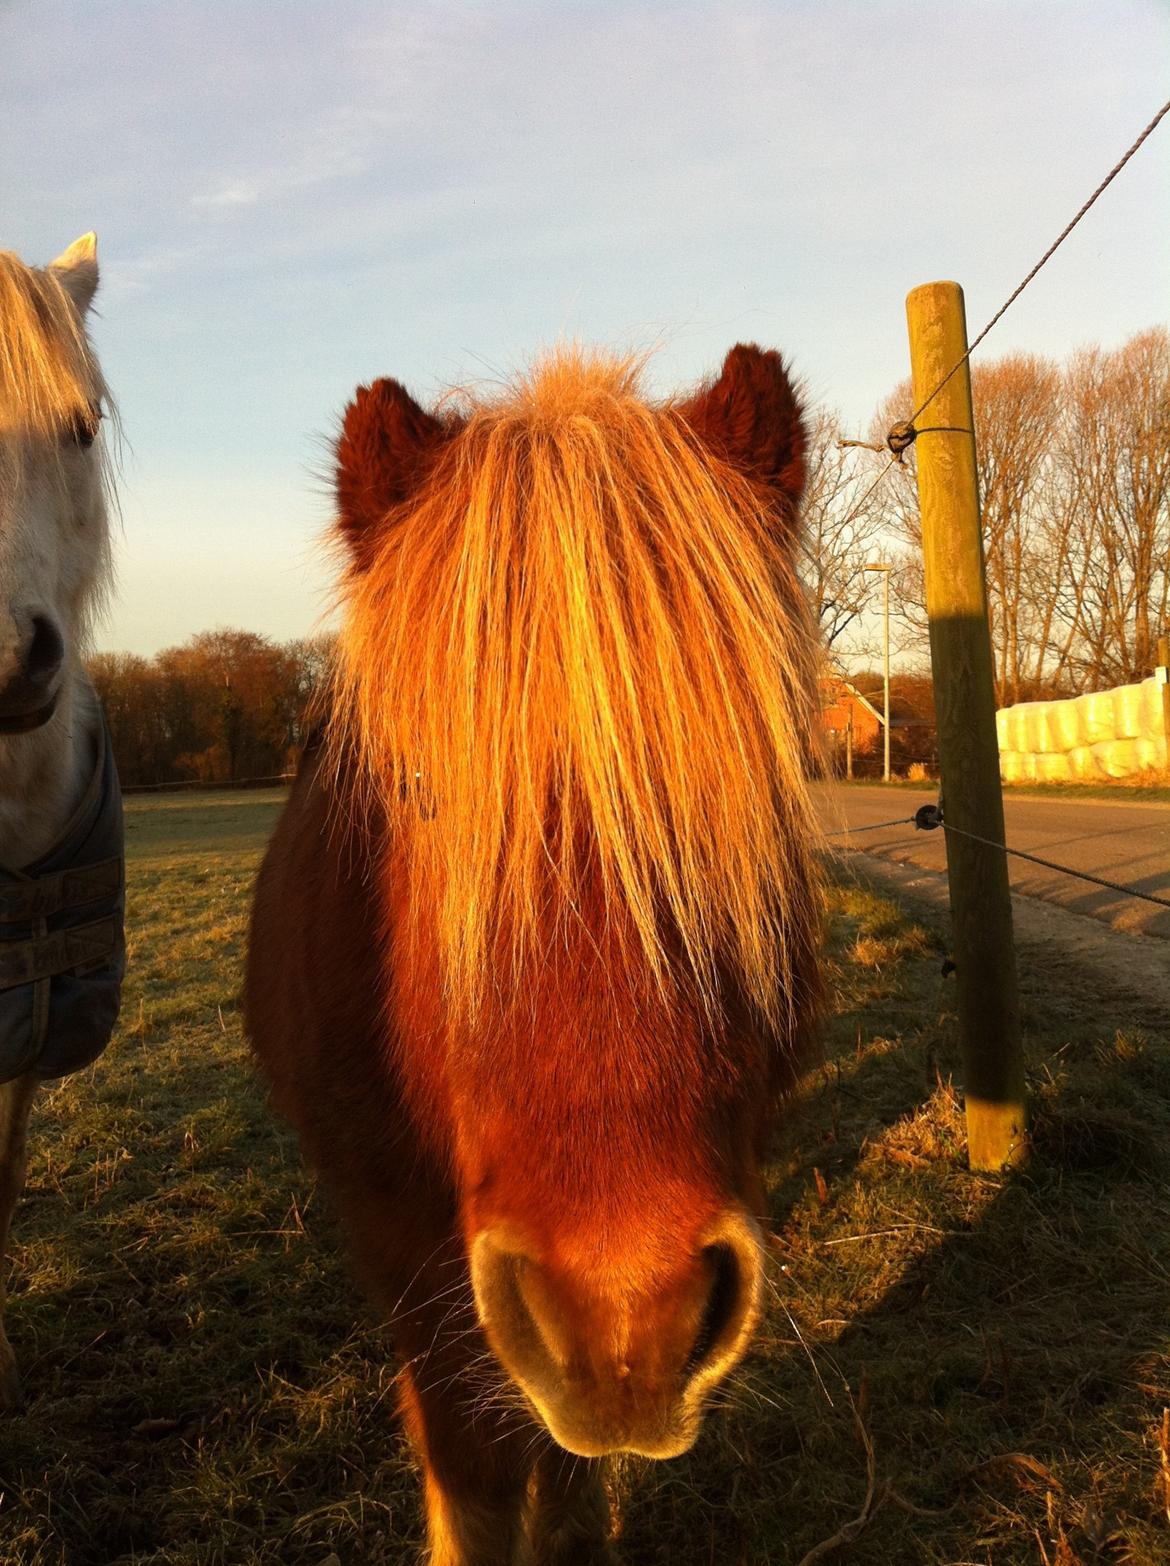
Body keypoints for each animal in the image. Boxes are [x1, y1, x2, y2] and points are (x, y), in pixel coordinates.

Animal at [246, 344, 823, 1564]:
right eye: (412, 790)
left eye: (762, 783)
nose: (625, 1314)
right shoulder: (406, 1256)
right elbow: (469, 1473)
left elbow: (561, 1488)